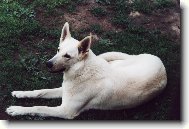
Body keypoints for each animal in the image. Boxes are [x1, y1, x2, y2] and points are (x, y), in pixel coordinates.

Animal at [6, 21, 167, 119]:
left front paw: (17, 109)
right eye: (58, 50)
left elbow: (39, 108)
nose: (48, 64)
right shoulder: (63, 90)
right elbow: (40, 91)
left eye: (67, 56)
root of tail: (160, 63)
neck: (82, 70)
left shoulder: (66, 111)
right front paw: (20, 93)